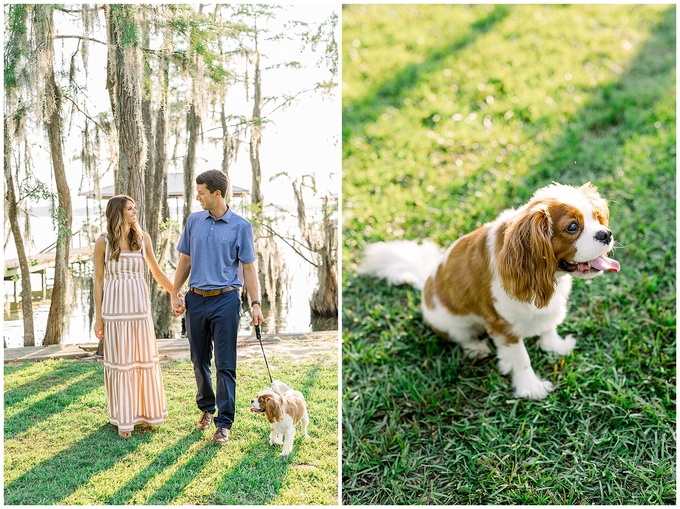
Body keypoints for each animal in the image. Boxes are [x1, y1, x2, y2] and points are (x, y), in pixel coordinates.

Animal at [358, 181, 620, 398]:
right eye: (572, 227)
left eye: (598, 218)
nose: (606, 234)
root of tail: (425, 283)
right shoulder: (502, 324)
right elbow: (521, 357)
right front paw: (530, 387)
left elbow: (548, 327)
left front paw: (554, 346)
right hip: (450, 322)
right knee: (460, 337)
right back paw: (476, 348)